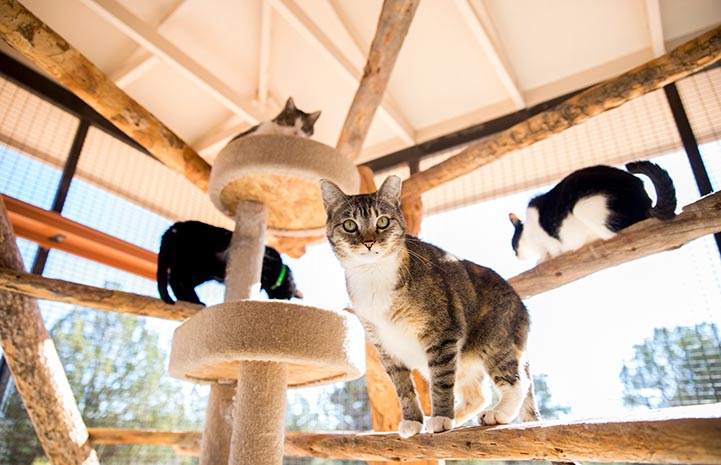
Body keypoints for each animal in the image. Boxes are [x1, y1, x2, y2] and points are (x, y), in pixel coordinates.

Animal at [156, 220, 302, 304]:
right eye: (285, 297)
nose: (281, 302)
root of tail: (176, 227)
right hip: (191, 265)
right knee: (176, 280)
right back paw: (194, 300)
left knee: (174, 280)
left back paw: (187, 299)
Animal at [506, 159, 676, 260]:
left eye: (514, 246)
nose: (516, 256)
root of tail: (645, 202)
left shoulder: (551, 243)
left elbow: (550, 252)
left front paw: (543, 258)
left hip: (583, 207)